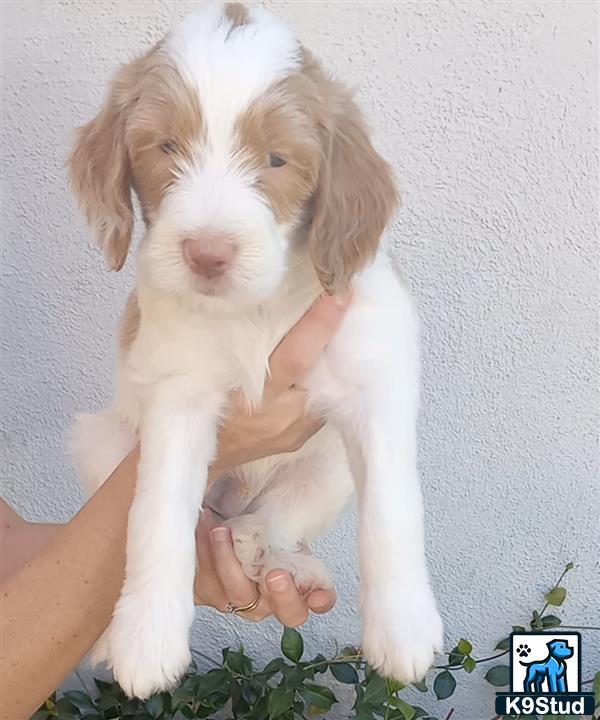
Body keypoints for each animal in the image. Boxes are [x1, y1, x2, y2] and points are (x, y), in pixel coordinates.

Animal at [70, 0, 442, 696]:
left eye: (275, 160)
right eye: (165, 148)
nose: (207, 254)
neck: (256, 312)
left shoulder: (376, 381)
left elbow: (392, 511)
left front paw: (404, 628)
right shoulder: (178, 397)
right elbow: (156, 517)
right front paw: (144, 639)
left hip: (324, 471)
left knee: (270, 523)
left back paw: (278, 560)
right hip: (102, 441)